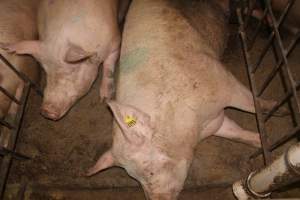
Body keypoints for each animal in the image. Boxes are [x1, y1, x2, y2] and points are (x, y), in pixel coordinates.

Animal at [86, 0, 284, 199]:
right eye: (134, 177)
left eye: (149, 171)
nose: (157, 198)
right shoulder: (215, 122)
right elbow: (237, 133)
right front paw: (265, 143)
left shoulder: (223, 81)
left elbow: (252, 103)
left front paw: (278, 109)